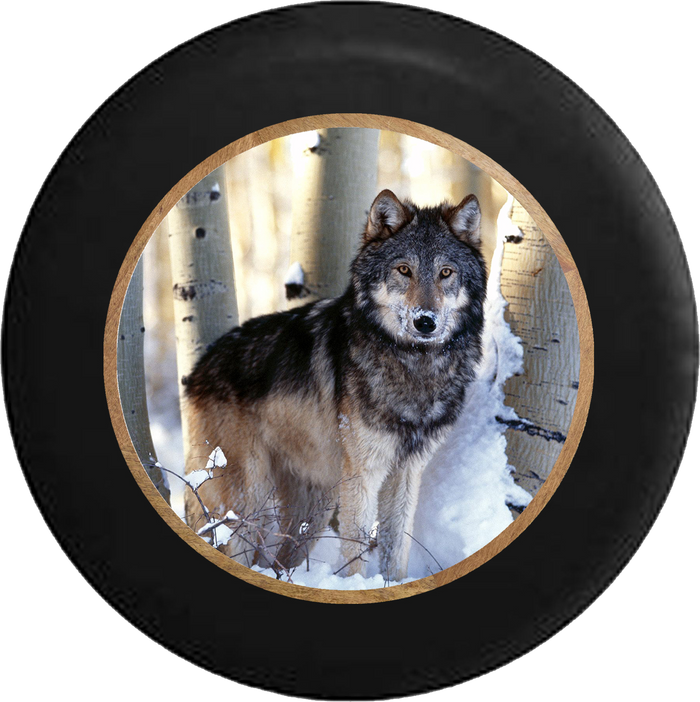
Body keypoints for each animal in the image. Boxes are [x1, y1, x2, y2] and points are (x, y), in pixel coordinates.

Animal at [183, 189, 487, 583]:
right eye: (404, 270)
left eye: (445, 273)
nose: (425, 321)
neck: (414, 365)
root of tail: (198, 369)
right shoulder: (363, 474)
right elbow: (355, 551)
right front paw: (356, 587)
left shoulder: (407, 473)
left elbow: (396, 552)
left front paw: (393, 585)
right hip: (250, 500)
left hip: (313, 507)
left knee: (279, 561)